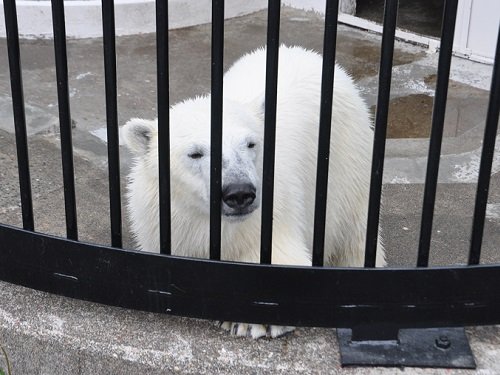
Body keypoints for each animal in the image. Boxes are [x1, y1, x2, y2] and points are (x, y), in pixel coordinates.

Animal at [122, 46, 386, 340]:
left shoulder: (272, 213)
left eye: (250, 143)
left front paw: (251, 321)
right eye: (195, 153)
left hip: (347, 159)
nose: (239, 193)